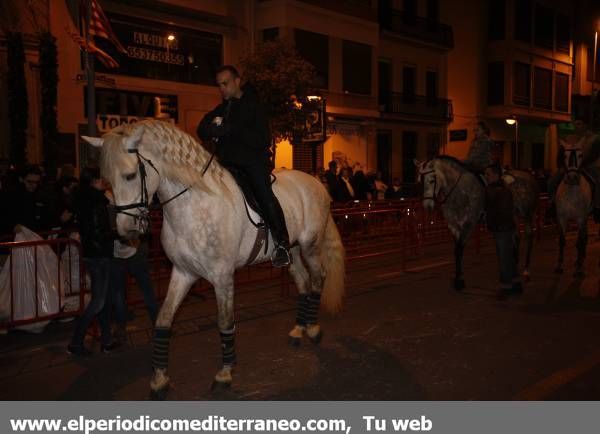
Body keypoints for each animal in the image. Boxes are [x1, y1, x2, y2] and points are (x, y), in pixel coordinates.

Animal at [82, 120, 344, 398]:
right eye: (106, 180)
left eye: (130, 175)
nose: (125, 231)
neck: (195, 205)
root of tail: (316, 183)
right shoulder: (183, 272)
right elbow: (164, 320)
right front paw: (160, 379)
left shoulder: (222, 276)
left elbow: (225, 321)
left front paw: (225, 373)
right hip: (291, 252)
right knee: (303, 282)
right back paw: (298, 330)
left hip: (310, 246)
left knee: (318, 278)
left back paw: (313, 329)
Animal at [418, 157, 540, 292]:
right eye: (420, 181)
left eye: (431, 180)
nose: (427, 206)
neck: (459, 192)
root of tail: (529, 175)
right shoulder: (453, 226)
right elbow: (456, 251)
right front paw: (458, 277)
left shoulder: (468, 224)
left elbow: (459, 249)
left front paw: (459, 281)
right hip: (513, 216)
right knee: (516, 237)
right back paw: (515, 264)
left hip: (527, 214)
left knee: (529, 236)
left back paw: (526, 271)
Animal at [556, 139, 592, 276]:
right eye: (565, 155)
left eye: (581, 155)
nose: (572, 178)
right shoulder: (562, 218)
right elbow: (562, 240)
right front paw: (560, 265)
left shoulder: (580, 218)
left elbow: (578, 241)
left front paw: (579, 268)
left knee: (583, 238)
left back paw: (580, 260)